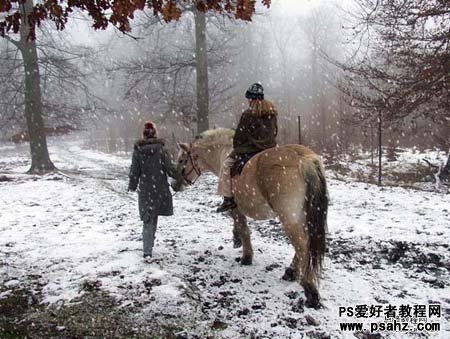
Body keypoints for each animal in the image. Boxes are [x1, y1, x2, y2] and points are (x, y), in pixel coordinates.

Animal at [174, 129, 328, 310]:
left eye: (182, 160)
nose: (174, 185)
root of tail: (303, 159)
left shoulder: (236, 207)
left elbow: (243, 228)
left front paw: (246, 256)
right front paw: (237, 240)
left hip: (289, 217)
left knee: (302, 244)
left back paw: (309, 288)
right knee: (305, 245)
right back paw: (292, 273)